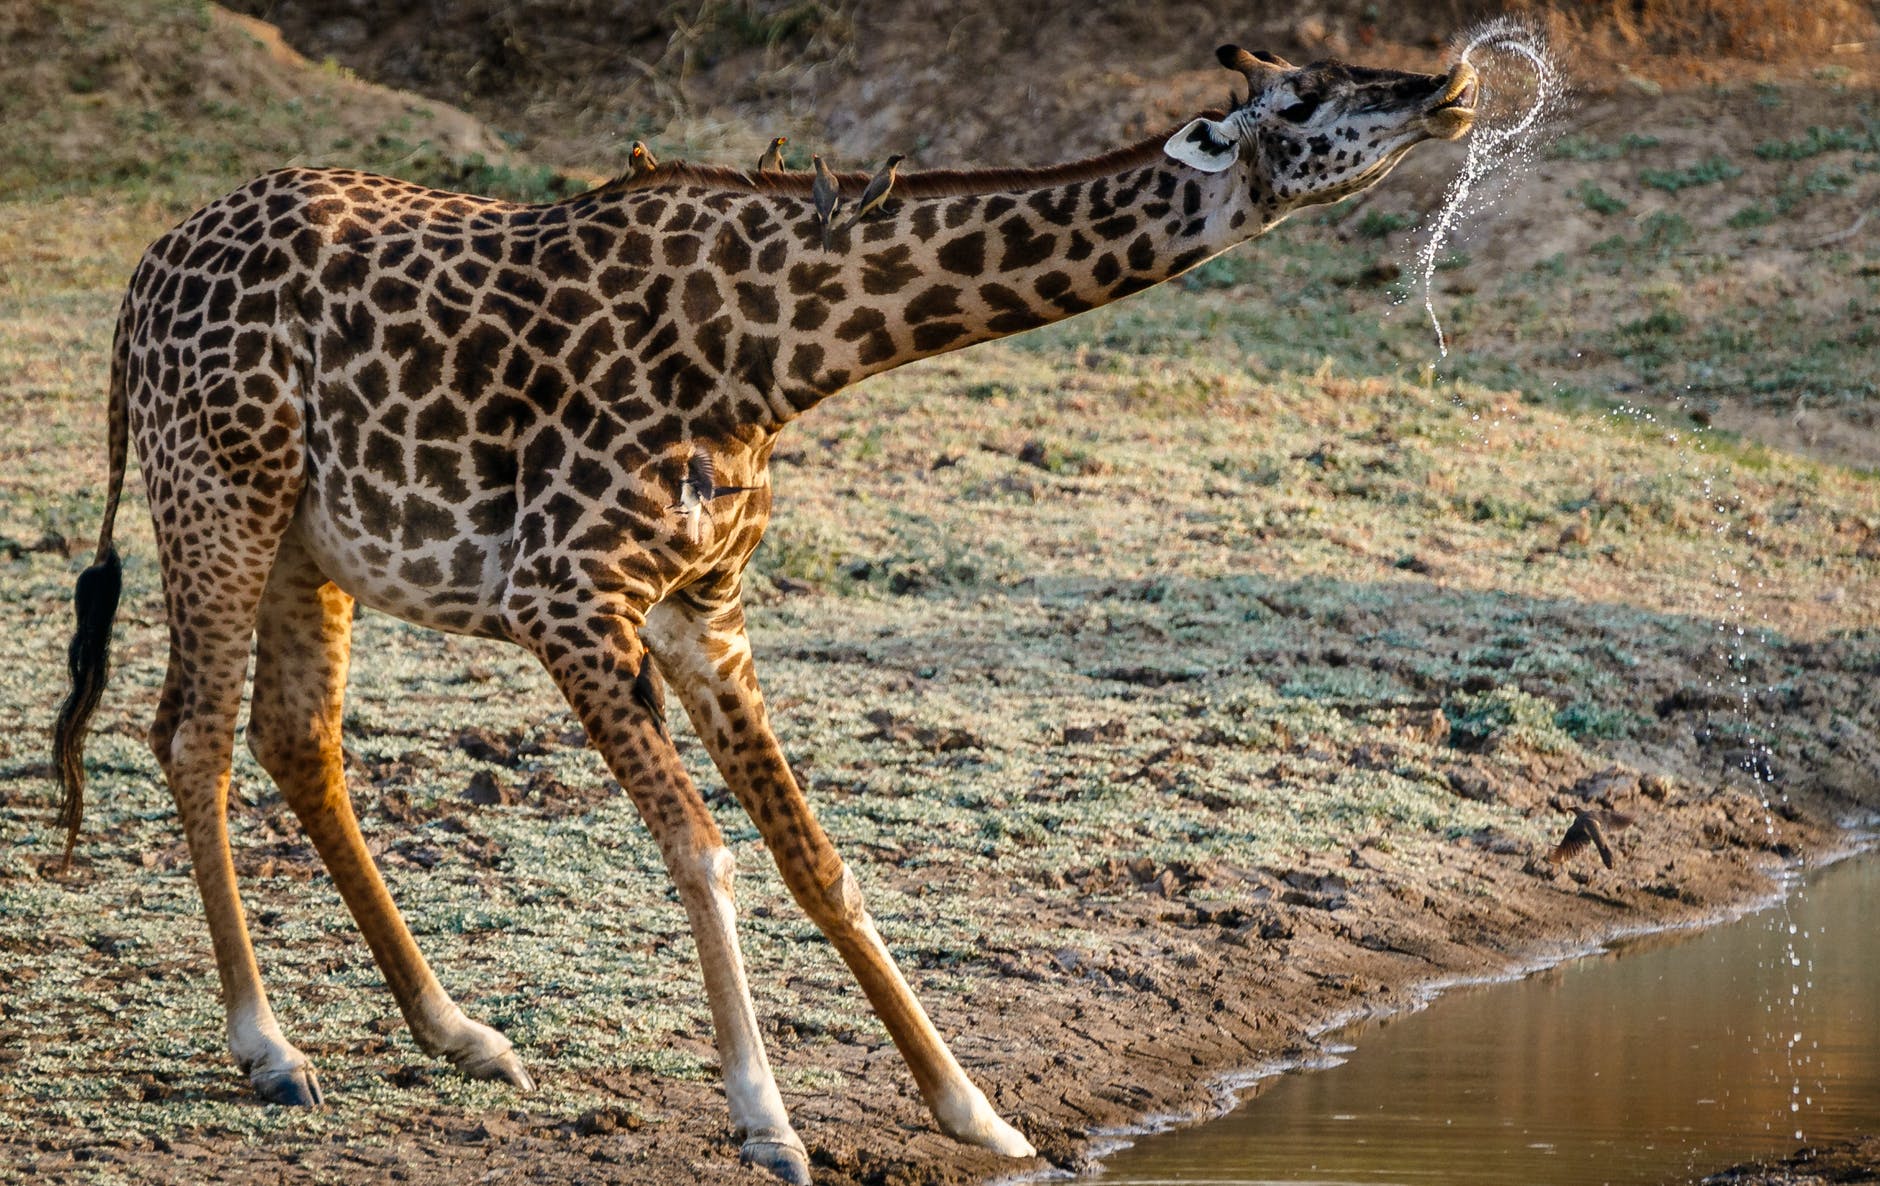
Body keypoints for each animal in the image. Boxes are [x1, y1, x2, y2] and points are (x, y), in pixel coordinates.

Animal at [51, 44, 1473, 1180]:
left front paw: (976, 1111)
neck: (779, 349)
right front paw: (768, 1124)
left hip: (311, 538)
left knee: (296, 739)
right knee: (191, 733)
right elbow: (703, 848)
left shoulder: (702, 606)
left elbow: (815, 857)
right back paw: (269, 1048)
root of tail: (136, 289)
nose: (1448, 86)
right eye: (1305, 97)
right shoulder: (564, 594)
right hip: (220, 491)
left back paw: (461, 1034)